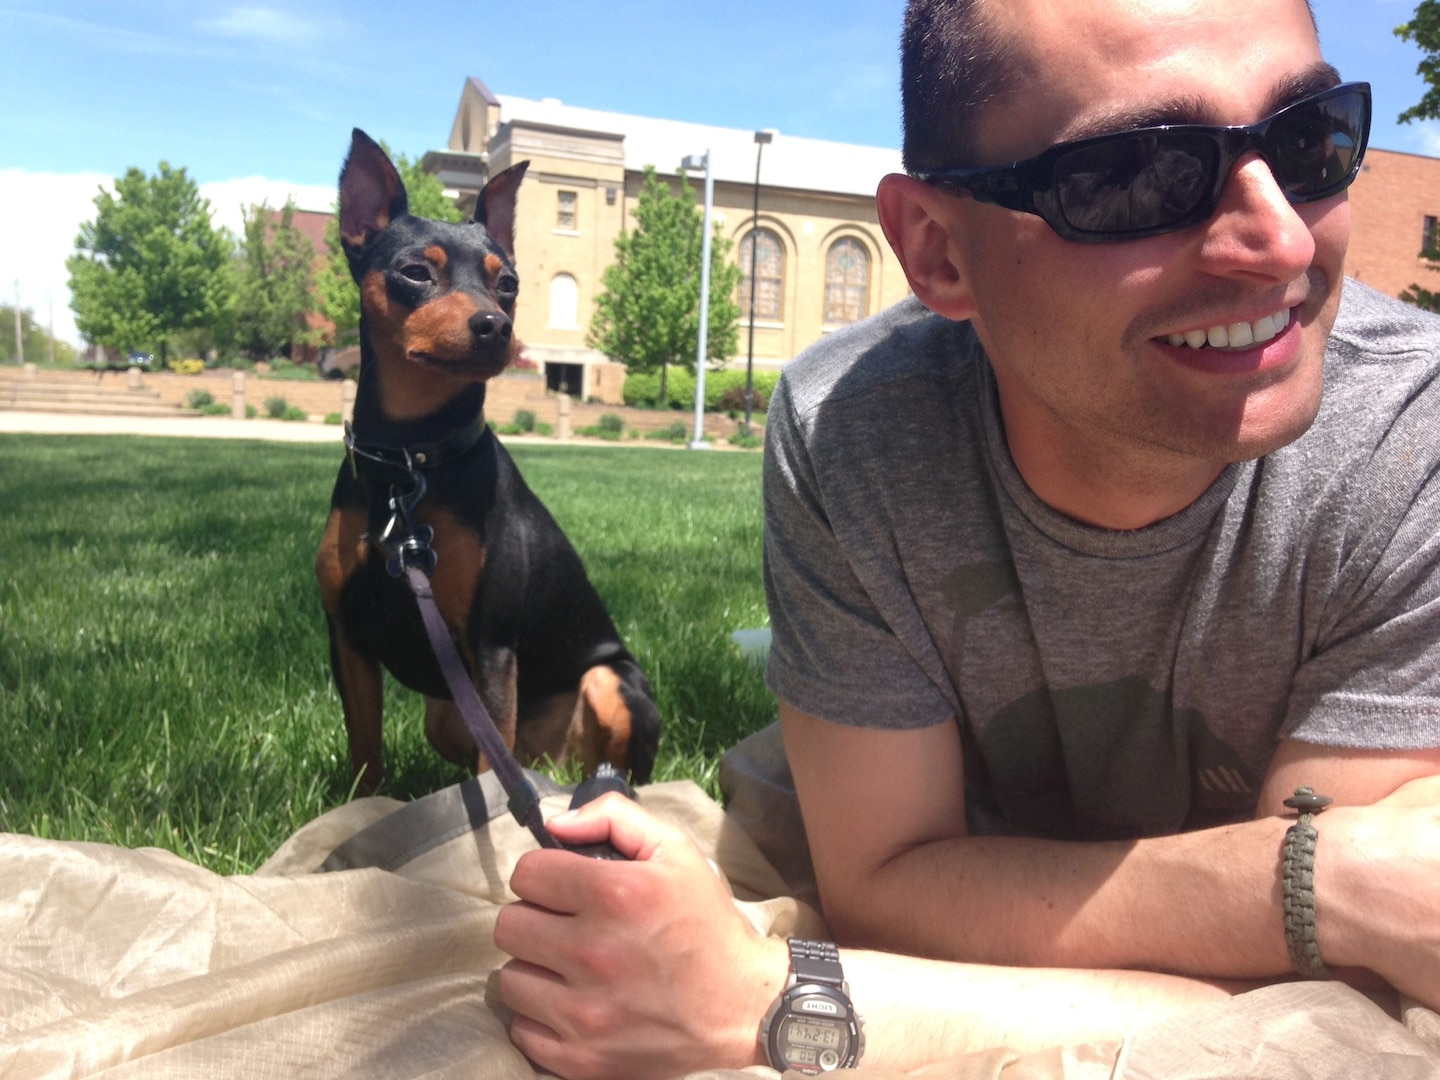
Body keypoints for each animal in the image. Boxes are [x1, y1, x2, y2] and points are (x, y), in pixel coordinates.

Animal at [318, 128, 659, 794]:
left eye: (510, 285)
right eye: (415, 272)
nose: (495, 325)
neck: (410, 463)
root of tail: (551, 762)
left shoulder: (491, 645)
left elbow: (487, 768)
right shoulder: (347, 637)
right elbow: (365, 755)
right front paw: (360, 809)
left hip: (608, 682)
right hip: (447, 714)